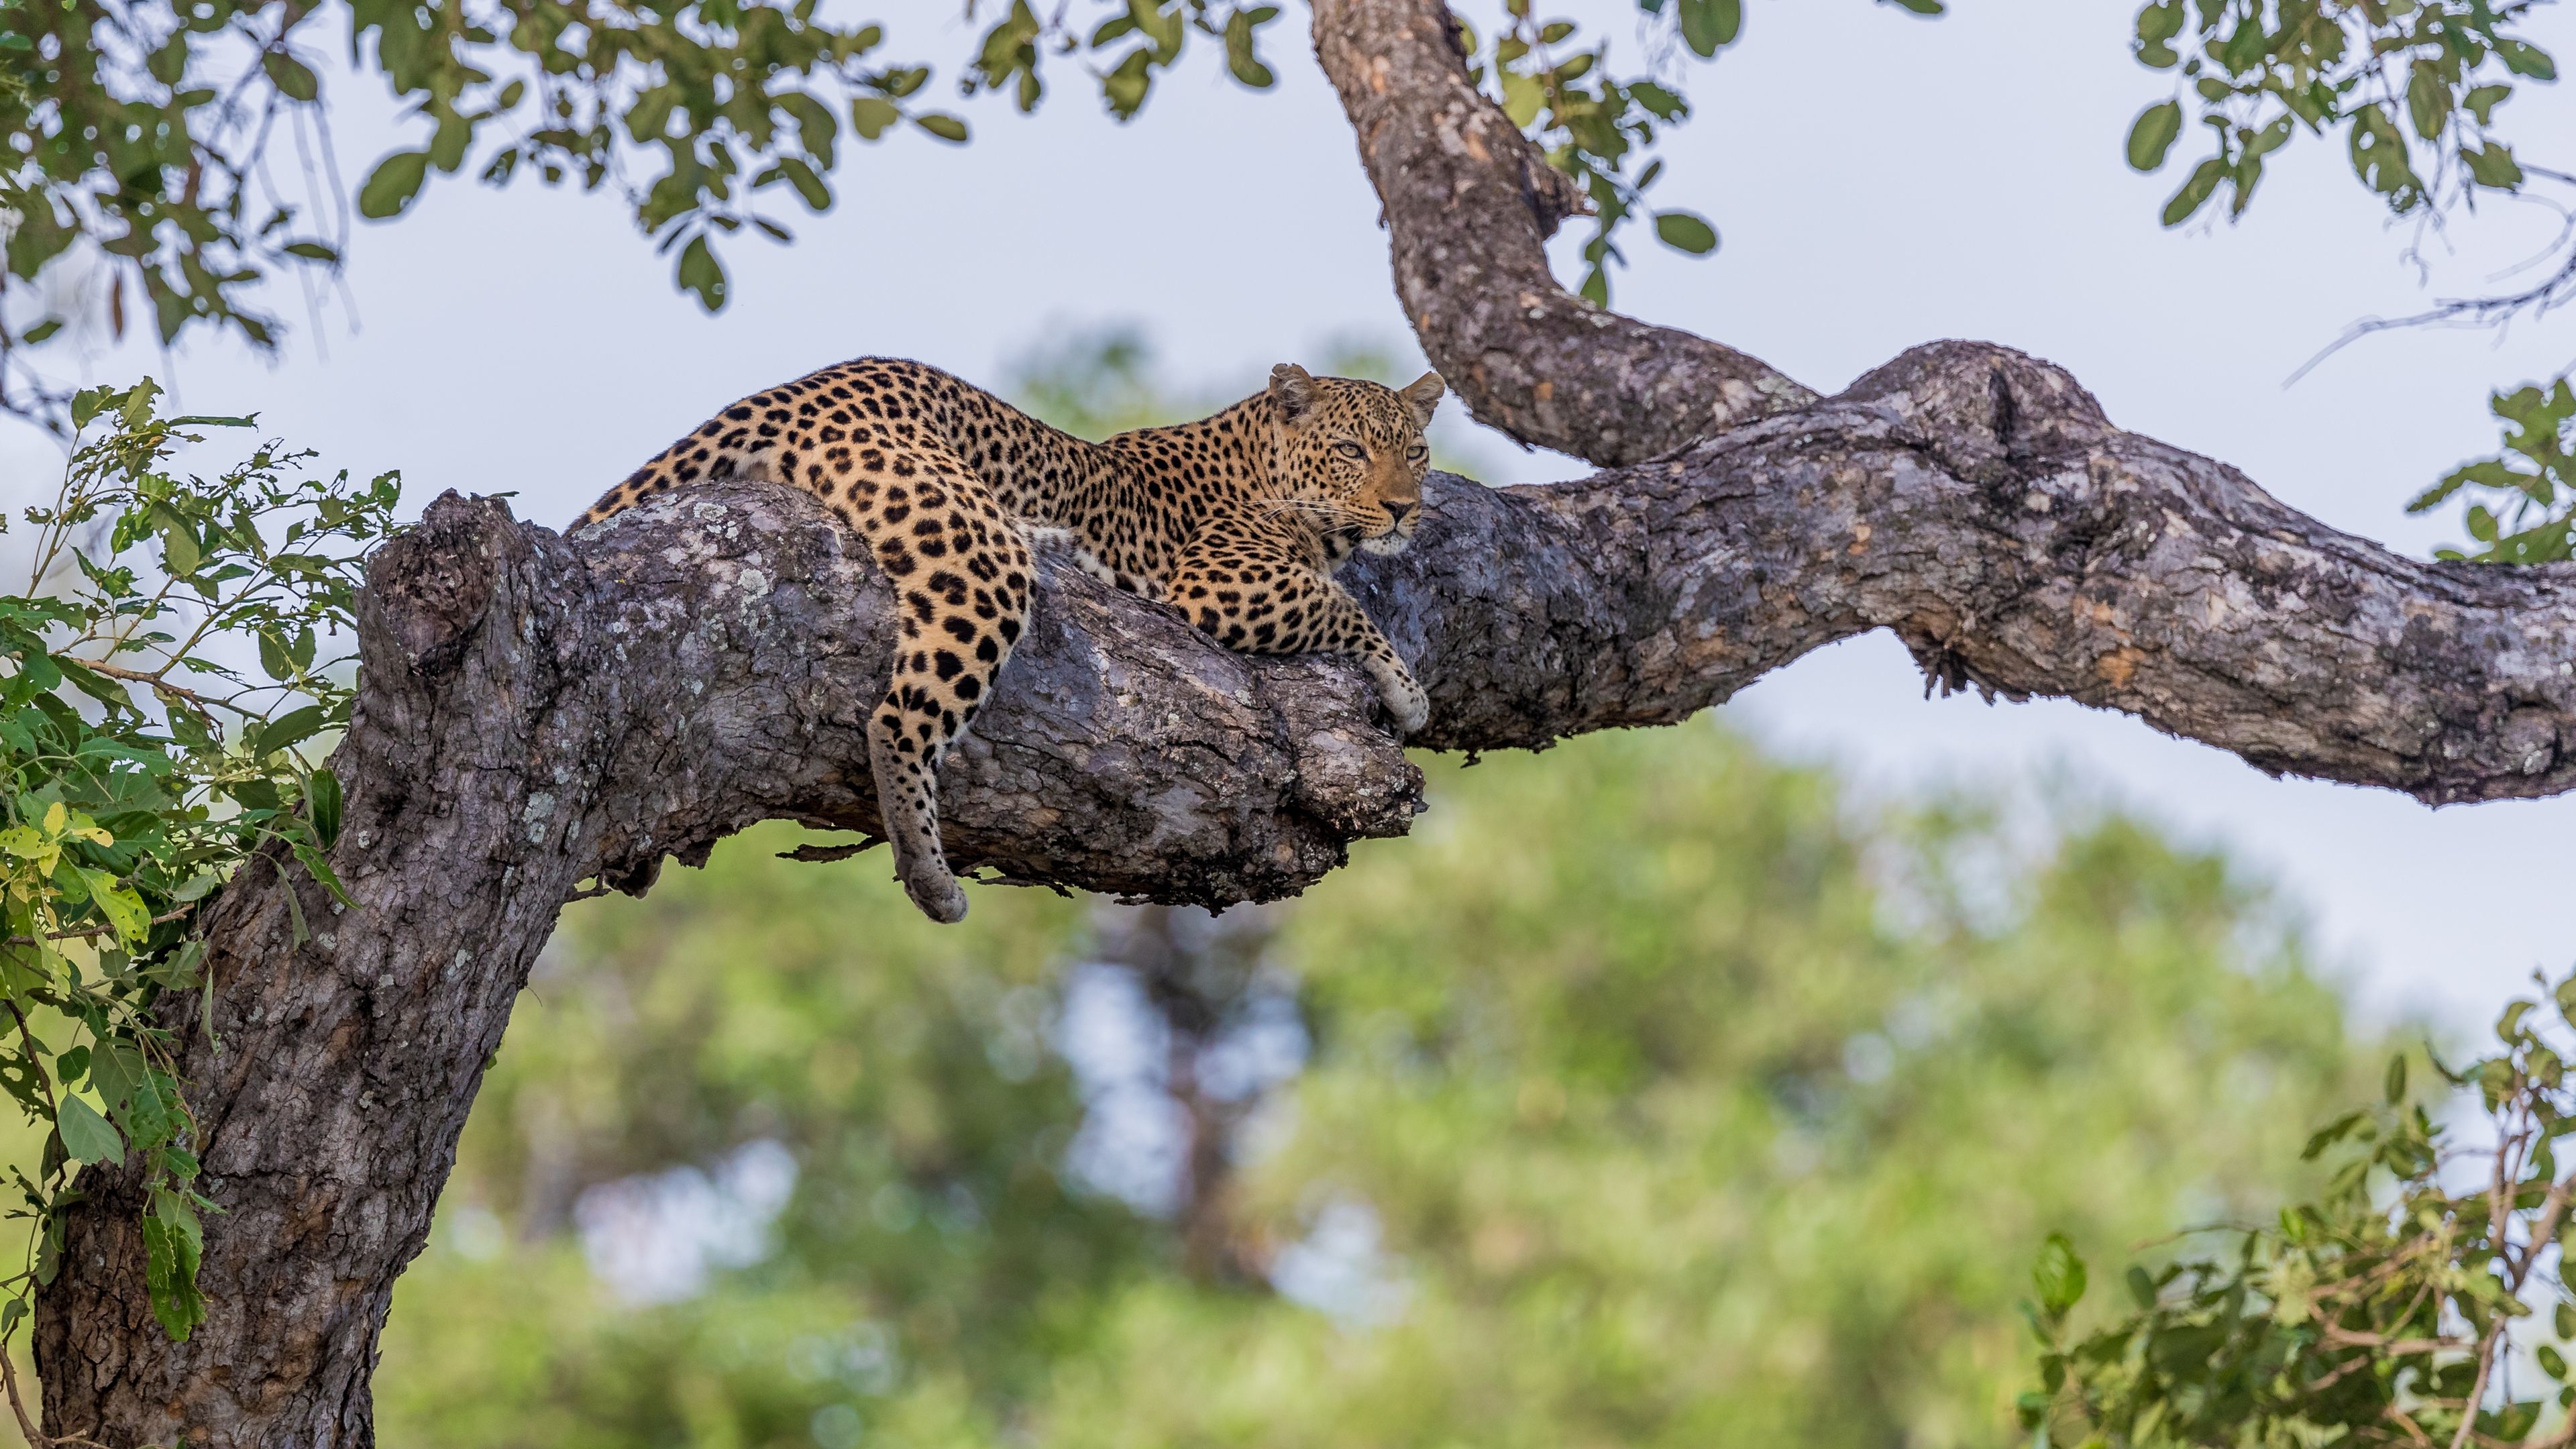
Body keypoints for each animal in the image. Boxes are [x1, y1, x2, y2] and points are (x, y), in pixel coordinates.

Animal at [577, 361, 1452, 922]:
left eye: (1414, 451)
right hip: (973, 550)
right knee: (896, 720)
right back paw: (931, 881)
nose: (1404, 508)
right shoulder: (1218, 583)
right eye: (1350, 451)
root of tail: (799, 387)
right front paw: (1407, 691)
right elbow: (1343, 605)